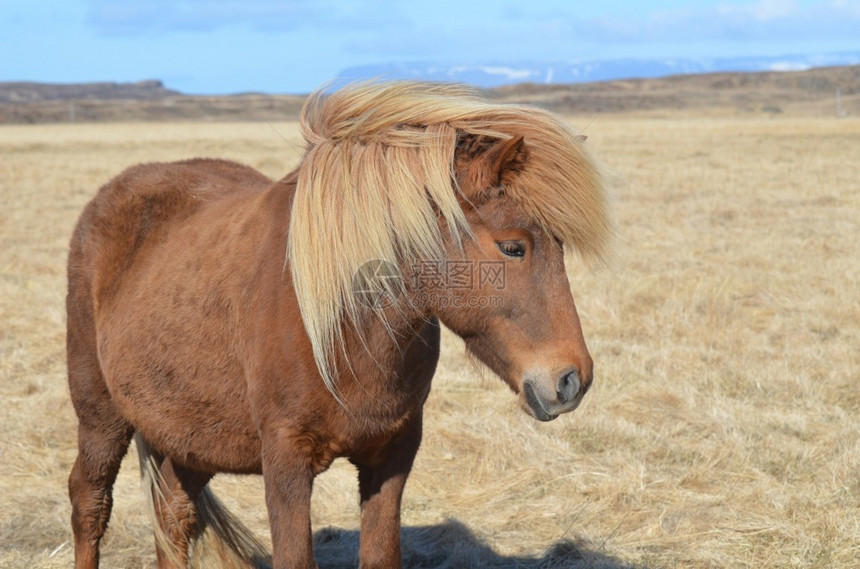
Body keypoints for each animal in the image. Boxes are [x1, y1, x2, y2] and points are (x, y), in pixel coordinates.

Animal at [69, 81, 612, 568]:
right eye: (513, 246)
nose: (572, 380)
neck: (346, 328)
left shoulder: (392, 456)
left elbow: (381, 553)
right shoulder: (285, 463)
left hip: (189, 436)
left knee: (173, 515)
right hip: (101, 416)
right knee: (90, 505)